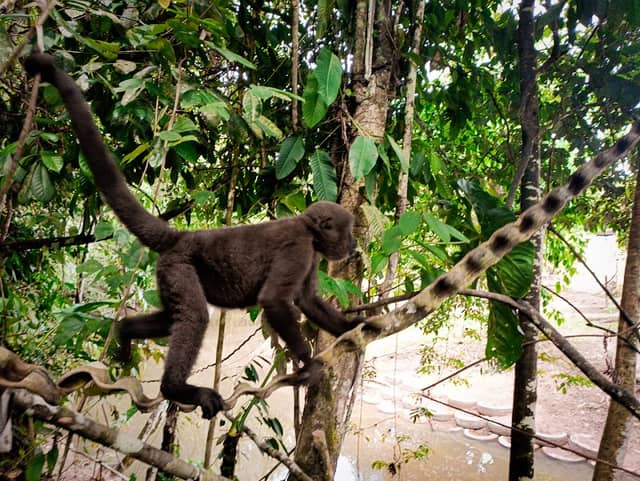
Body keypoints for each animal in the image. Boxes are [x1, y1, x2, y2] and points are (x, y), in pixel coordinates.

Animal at [24, 52, 361, 419]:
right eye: (348, 230)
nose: (354, 244)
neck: (308, 231)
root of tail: (181, 237)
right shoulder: (298, 248)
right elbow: (275, 299)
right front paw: (309, 364)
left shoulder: (311, 255)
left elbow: (308, 301)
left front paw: (352, 327)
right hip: (179, 268)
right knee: (195, 317)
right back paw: (177, 388)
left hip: (168, 273)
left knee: (173, 318)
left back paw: (127, 333)